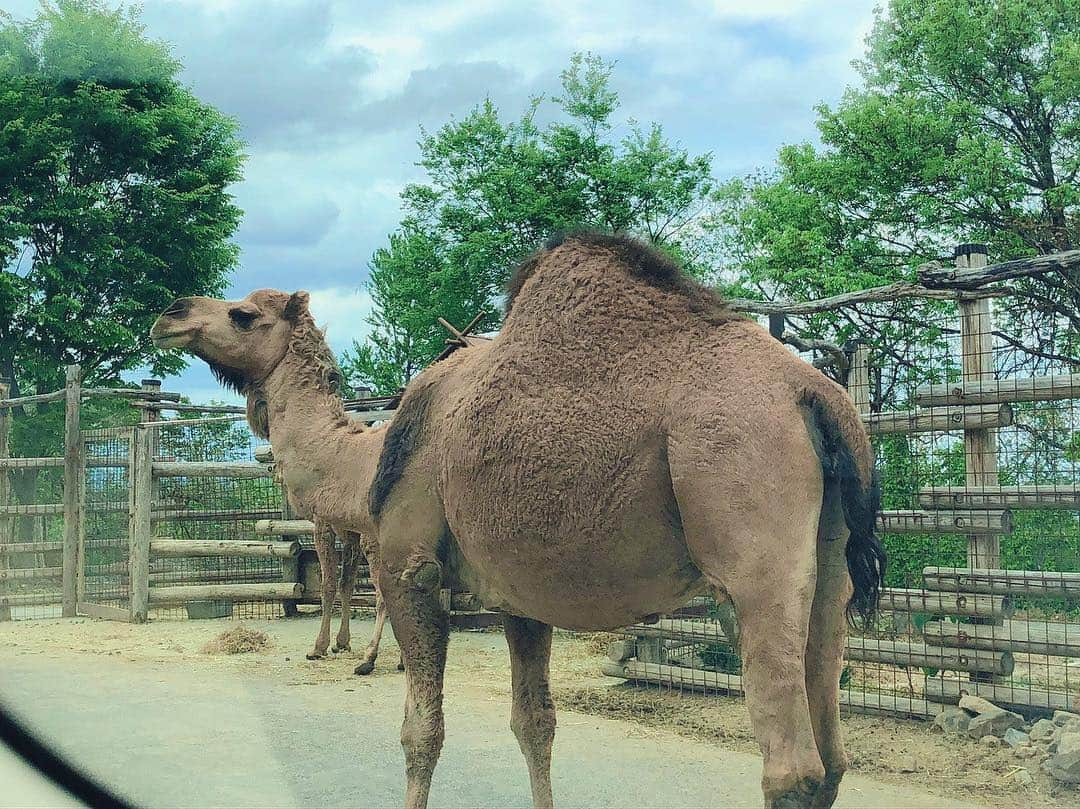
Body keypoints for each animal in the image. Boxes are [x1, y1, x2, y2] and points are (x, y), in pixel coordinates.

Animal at [152, 228, 885, 807]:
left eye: (243, 314)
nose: (170, 313)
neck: (368, 460)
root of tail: (815, 395)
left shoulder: (408, 566)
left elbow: (421, 730)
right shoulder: (520, 596)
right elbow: (535, 724)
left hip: (748, 531)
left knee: (791, 767)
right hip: (828, 562)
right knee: (833, 756)